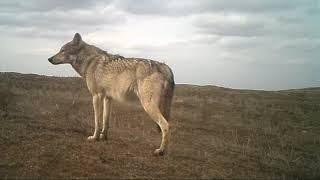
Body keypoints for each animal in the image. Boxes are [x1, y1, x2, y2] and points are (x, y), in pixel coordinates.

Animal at [47, 33, 175, 155]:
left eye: (63, 50)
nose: (49, 59)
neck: (89, 61)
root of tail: (165, 67)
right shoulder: (107, 98)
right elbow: (105, 120)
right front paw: (103, 137)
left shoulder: (96, 96)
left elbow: (97, 121)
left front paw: (95, 137)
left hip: (148, 105)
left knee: (166, 125)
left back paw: (161, 151)